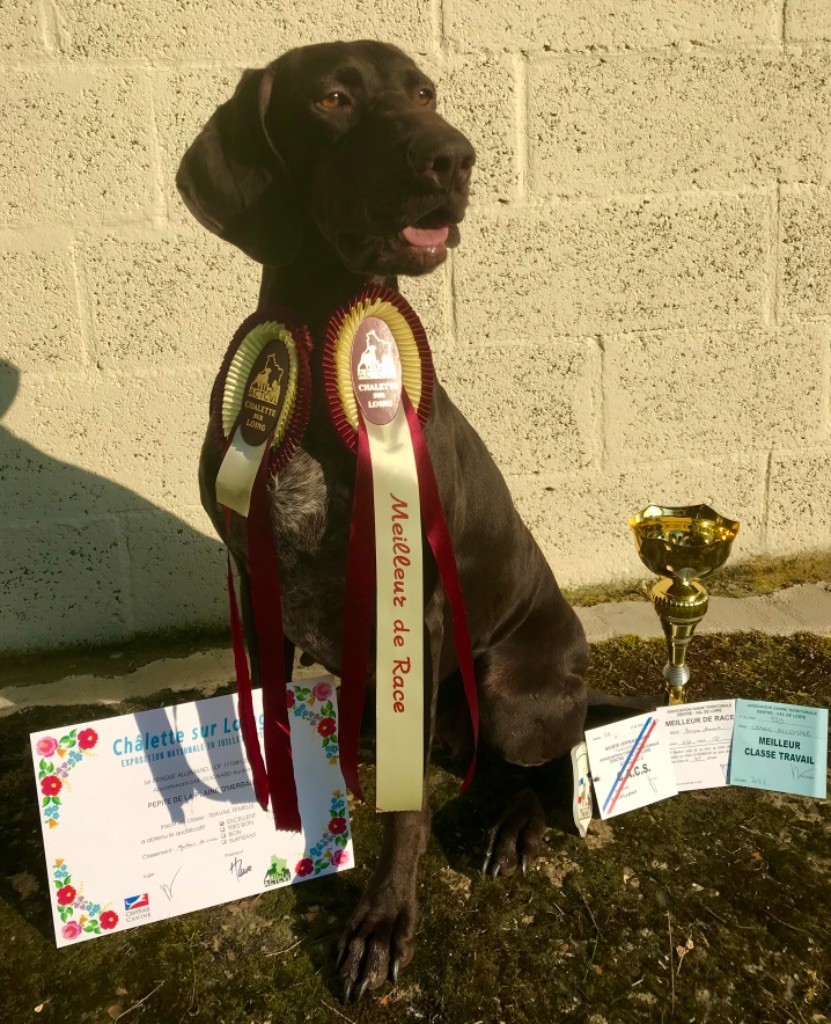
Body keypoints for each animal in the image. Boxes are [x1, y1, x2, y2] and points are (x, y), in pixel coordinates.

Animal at [177, 39, 589, 999]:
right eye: (331, 99)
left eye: (425, 92)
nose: (454, 157)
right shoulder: (258, 582)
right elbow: (270, 724)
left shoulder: (421, 610)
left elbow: (408, 810)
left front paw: (383, 919)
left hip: (507, 687)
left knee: (547, 765)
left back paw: (513, 826)